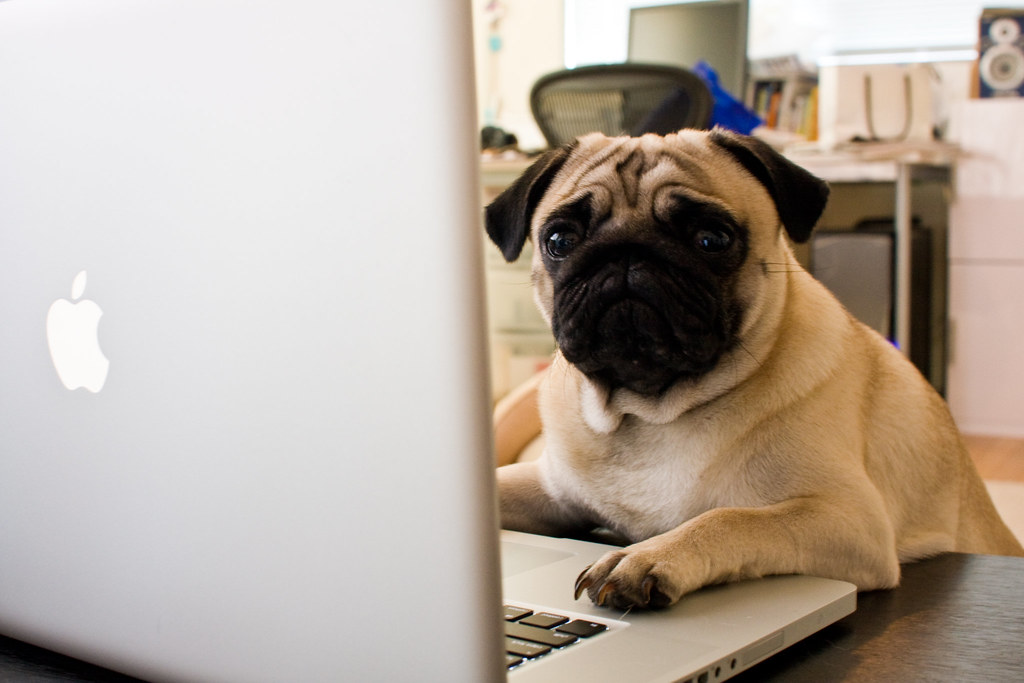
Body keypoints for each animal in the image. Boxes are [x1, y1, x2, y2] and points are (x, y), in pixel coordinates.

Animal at [481, 131, 1024, 610]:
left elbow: (732, 518)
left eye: (712, 239)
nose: (627, 251)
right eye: (559, 239)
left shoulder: (846, 517)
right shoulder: (548, 488)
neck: (648, 412)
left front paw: (648, 556)